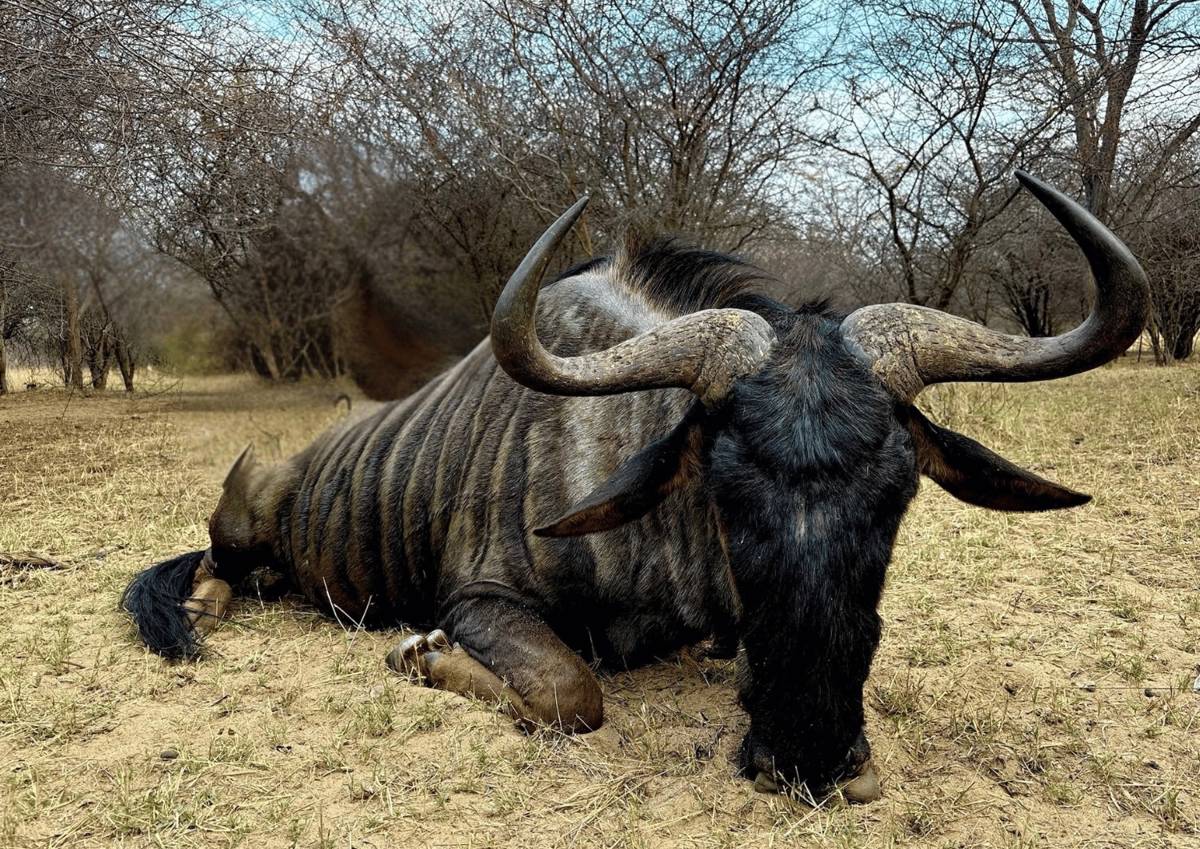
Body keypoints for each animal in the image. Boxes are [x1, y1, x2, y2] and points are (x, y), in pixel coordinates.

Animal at [122, 172, 1149, 803]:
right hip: (241, 519)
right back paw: (205, 608)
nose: (812, 757)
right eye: (726, 492)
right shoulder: (482, 599)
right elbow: (571, 694)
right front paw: (421, 656)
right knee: (218, 566)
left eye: (899, 496)